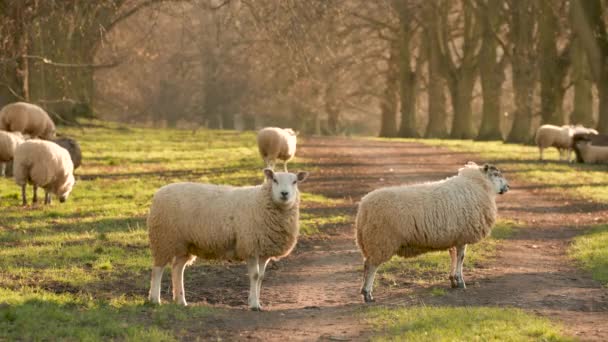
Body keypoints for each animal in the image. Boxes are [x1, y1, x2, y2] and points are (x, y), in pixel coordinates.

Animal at [147, 168, 308, 310]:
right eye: (274, 180)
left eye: (294, 182)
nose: (284, 193)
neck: (261, 202)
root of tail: (159, 192)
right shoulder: (250, 246)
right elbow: (255, 275)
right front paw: (254, 305)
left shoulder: (263, 251)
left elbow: (261, 277)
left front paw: (256, 301)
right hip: (164, 238)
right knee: (157, 269)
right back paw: (155, 300)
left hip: (185, 244)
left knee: (177, 268)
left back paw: (181, 301)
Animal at [356, 162, 508, 304]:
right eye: (496, 174)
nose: (508, 187)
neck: (479, 185)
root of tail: (364, 207)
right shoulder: (462, 236)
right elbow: (461, 257)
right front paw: (460, 281)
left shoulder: (454, 236)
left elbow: (453, 255)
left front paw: (453, 280)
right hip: (381, 240)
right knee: (371, 267)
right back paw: (368, 294)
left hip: (373, 241)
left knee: (366, 265)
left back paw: (365, 292)